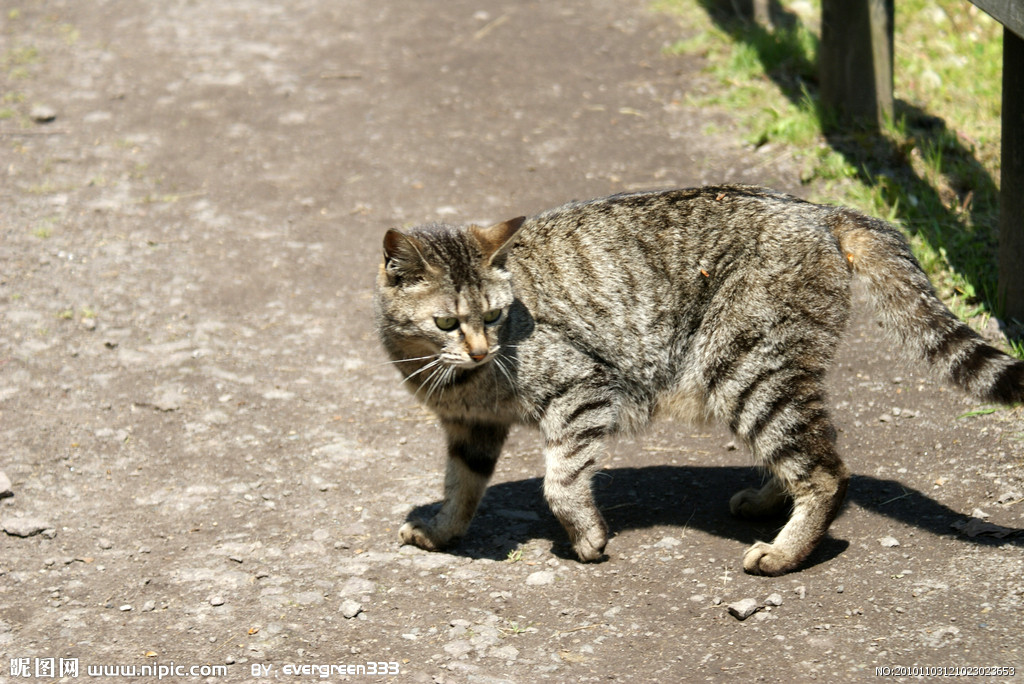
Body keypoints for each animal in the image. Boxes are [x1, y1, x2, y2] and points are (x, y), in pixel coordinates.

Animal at [374, 184, 1024, 573]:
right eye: (447, 322)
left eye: (491, 316)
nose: (482, 350)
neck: (460, 381)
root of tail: (821, 210)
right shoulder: (471, 428)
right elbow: (461, 486)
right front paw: (441, 532)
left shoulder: (582, 389)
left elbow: (561, 481)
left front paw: (586, 538)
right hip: (764, 375)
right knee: (809, 449)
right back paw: (768, 500)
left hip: (743, 368)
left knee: (827, 471)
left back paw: (783, 552)